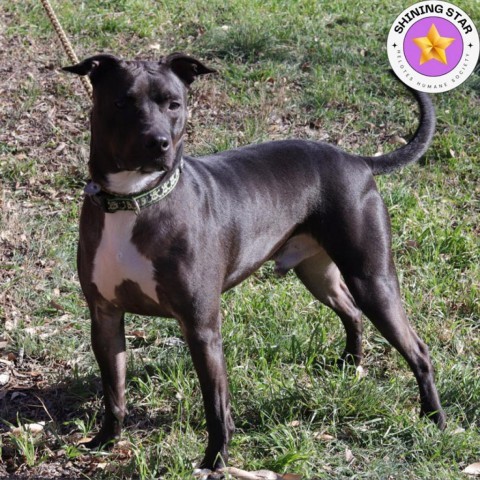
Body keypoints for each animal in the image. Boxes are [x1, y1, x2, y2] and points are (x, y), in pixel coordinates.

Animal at [62, 51, 444, 472]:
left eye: (173, 104)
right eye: (121, 103)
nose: (158, 142)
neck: (136, 200)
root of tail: (355, 160)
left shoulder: (202, 328)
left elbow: (216, 405)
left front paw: (215, 461)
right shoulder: (105, 317)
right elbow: (113, 390)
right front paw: (105, 441)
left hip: (373, 279)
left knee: (417, 349)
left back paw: (434, 419)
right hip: (318, 274)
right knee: (350, 309)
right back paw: (351, 364)